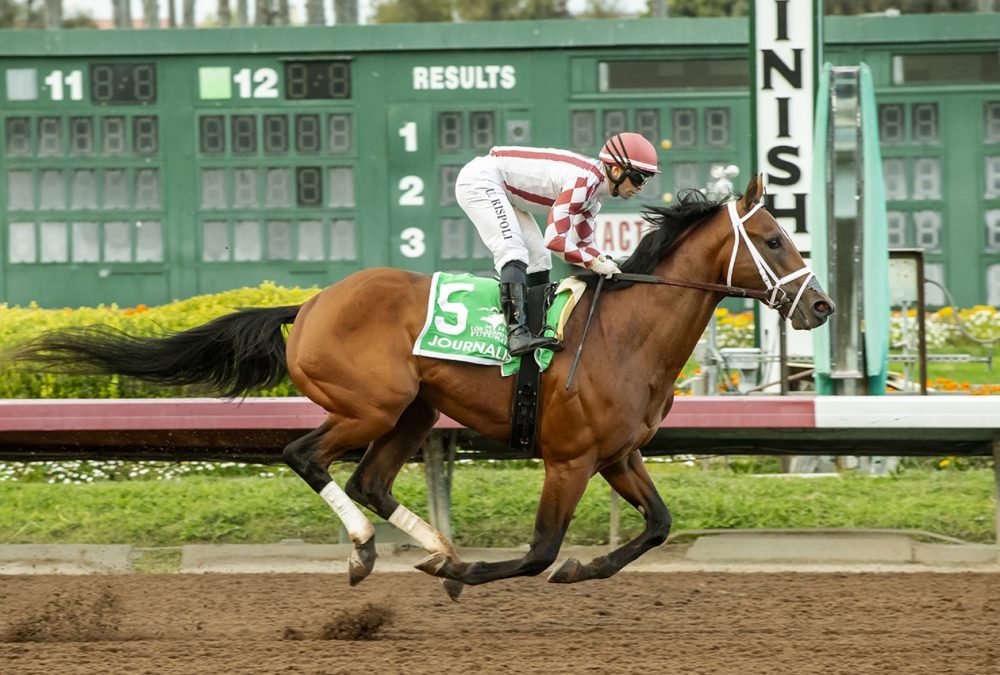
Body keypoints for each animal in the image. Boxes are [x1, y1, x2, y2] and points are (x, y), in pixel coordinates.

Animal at [7, 177, 832, 600]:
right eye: (772, 238)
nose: (821, 305)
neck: (624, 334)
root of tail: (309, 303)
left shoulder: (617, 454)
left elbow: (657, 526)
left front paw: (570, 566)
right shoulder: (567, 458)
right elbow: (537, 549)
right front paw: (475, 572)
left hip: (414, 408)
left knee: (368, 478)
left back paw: (430, 547)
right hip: (367, 403)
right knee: (305, 455)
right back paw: (373, 552)